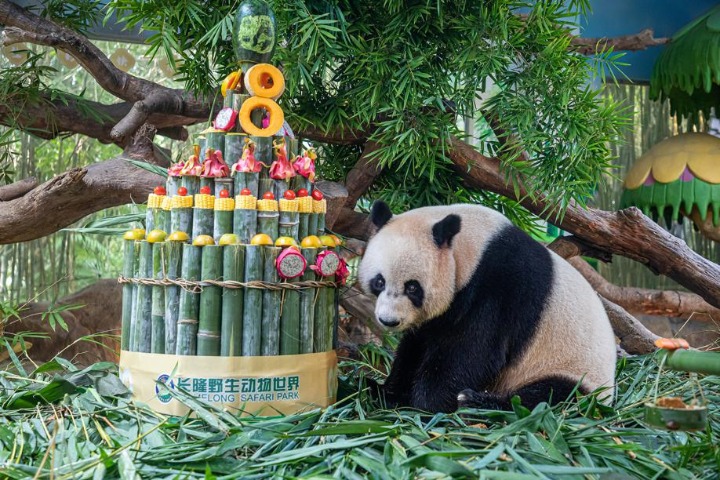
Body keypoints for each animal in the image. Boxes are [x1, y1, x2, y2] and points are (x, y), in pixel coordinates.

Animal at [358, 201, 616, 413]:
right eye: (379, 282)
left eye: (412, 288)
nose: (389, 320)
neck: (472, 248)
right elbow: (417, 345)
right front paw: (385, 392)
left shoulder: (498, 289)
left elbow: (474, 350)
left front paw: (430, 401)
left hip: (573, 371)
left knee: (549, 397)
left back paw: (476, 401)